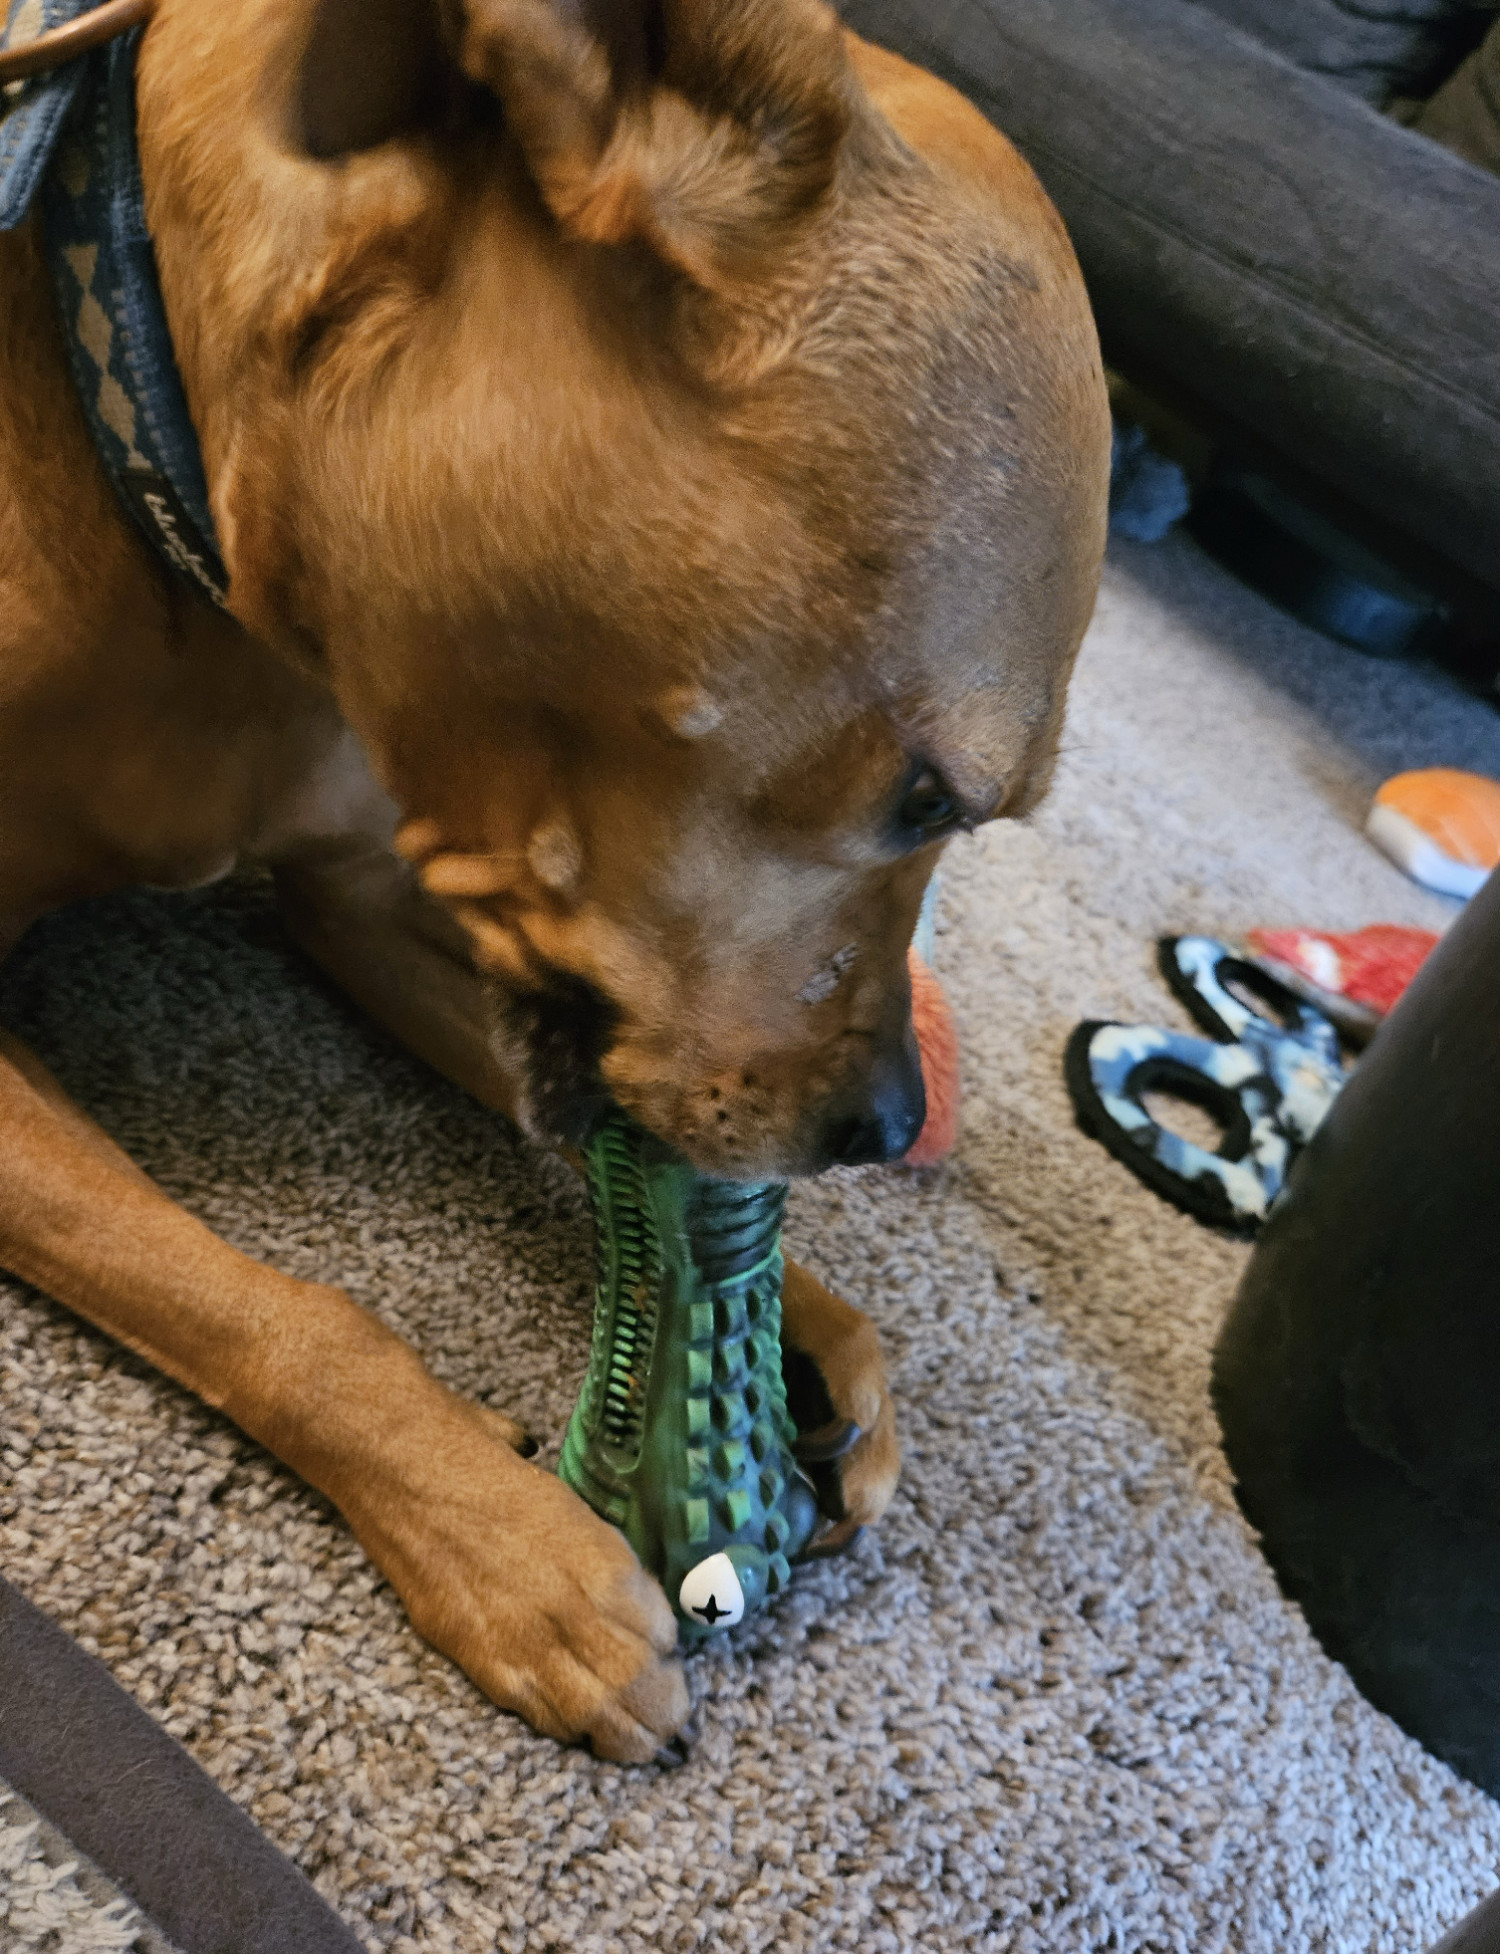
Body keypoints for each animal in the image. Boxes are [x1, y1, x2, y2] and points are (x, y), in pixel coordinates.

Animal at [0, 0, 1101, 1766]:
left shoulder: (377, 904)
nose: (883, 1125)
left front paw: (819, 1318)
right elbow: (276, 1309)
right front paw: (505, 1540)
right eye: (929, 792)